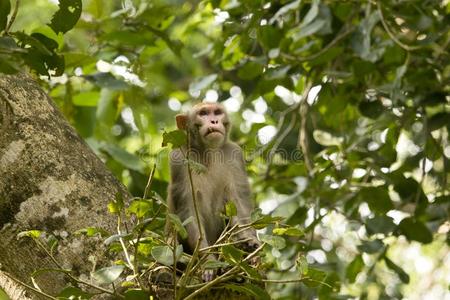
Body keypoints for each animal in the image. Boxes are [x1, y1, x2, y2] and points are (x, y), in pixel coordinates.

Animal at [166, 102, 258, 280]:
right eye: (203, 113)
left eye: (216, 112)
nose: (214, 121)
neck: (209, 151)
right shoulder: (178, 159)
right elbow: (188, 212)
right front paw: (208, 263)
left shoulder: (235, 155)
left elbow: (238, 204)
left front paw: (250, 241)